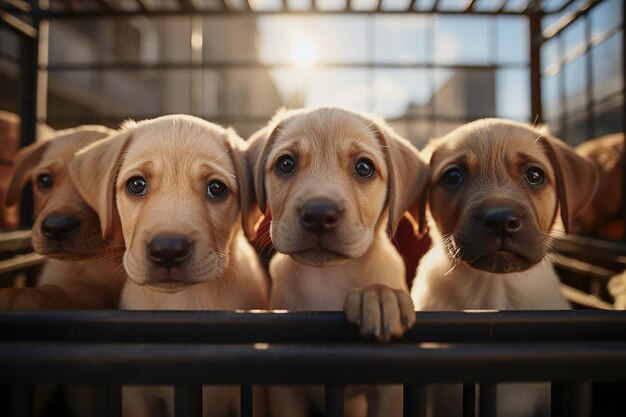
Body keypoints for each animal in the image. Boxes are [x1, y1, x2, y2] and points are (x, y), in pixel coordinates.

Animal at [69, 114, 268, 416]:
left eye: (216, 189)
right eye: (136, 185)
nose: (168, 251)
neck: (183, 303)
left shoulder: (252, 395)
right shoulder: (138, 395)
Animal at [246, 106, 426, 416]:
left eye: (364, 168)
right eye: (286, 164)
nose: (319, 213)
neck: (327, 278)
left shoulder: (389, 391)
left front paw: (380, 296)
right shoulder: (285, 390)